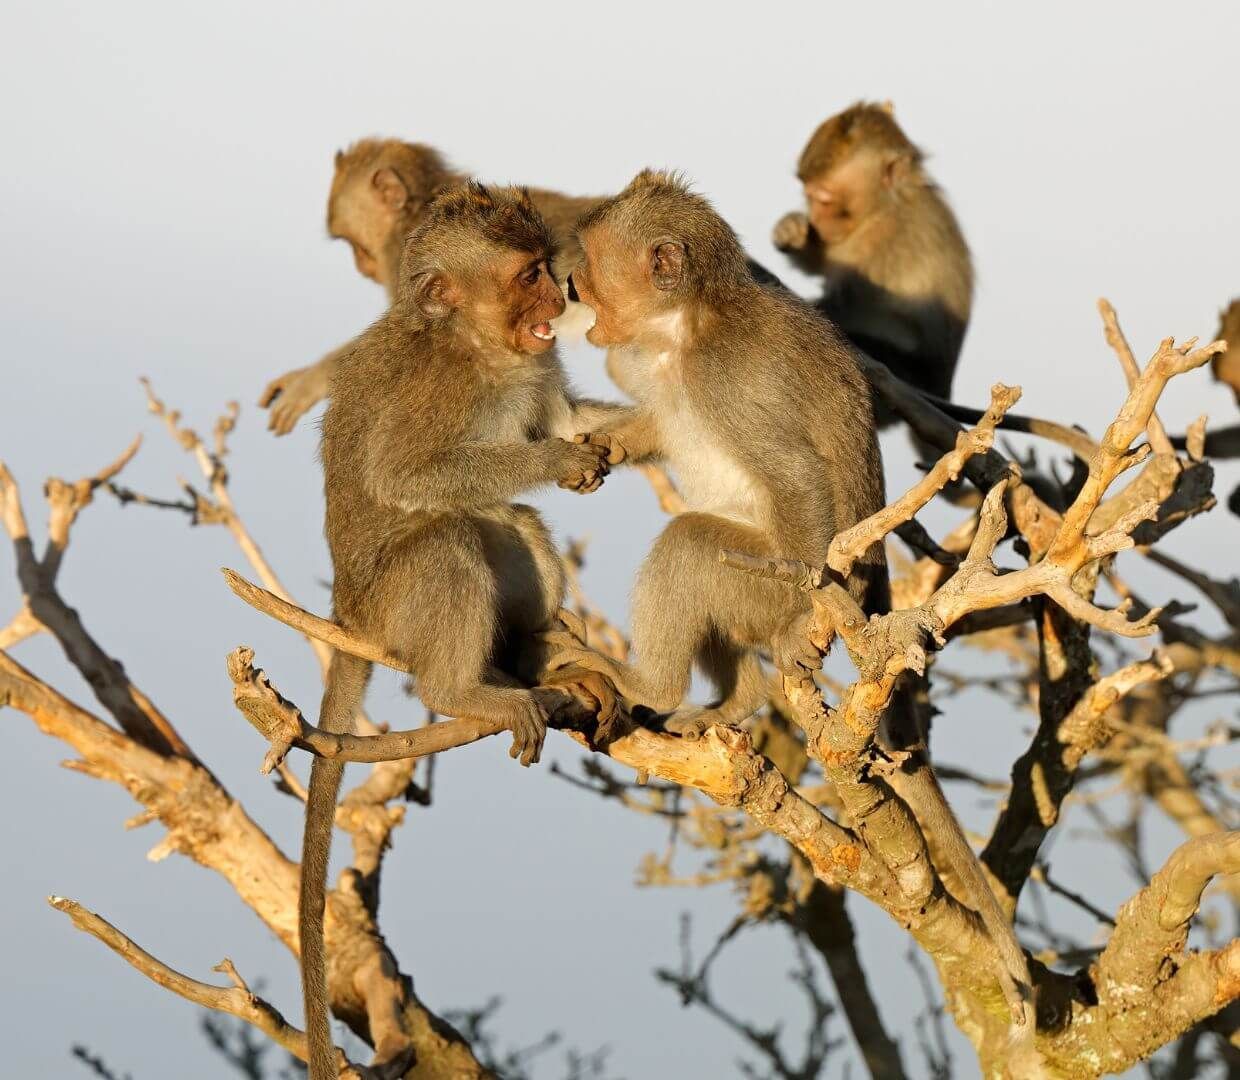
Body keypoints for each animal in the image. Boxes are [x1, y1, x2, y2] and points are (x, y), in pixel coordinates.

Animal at [301, 183, 619, 1080]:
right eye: (526, 275)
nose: (561, 296)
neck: (482, 349)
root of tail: (347, 612)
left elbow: (564, 415)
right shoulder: (438, 389)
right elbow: (407, 473)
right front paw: (557, 461)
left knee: (512, 525)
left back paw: (540, 652)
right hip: (393, 606)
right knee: (449, 536)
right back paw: (463, 687)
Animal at [553, 170, 1042, 1063]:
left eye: (593, 273)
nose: (574, 293)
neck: (683, 330)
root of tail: (872, 602)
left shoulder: (727, 380)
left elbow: (798, 482)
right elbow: (653, 423)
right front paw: (596, 448)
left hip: (768, 583)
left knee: (691, 548)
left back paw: (656, 680)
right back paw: (736, 697)